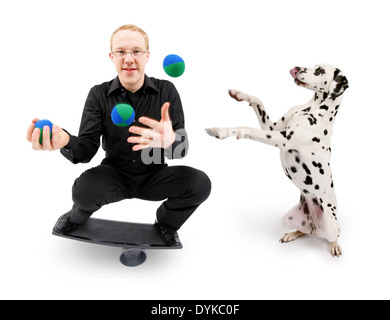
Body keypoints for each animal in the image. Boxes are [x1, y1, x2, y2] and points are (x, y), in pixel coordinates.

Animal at [206, 63, 348, 256]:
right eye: (314, 66)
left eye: (320, 71)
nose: (296, 67)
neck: (313, 108)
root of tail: (315, 227)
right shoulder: (272, 127)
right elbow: (258, 101)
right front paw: (239, 94)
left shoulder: (281, 138)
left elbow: (248, 129)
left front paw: (221, 130)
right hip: (289, 219)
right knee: (304, 231)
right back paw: (292, 234)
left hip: (332, 222)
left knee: (333, 236)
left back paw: (334, 245)